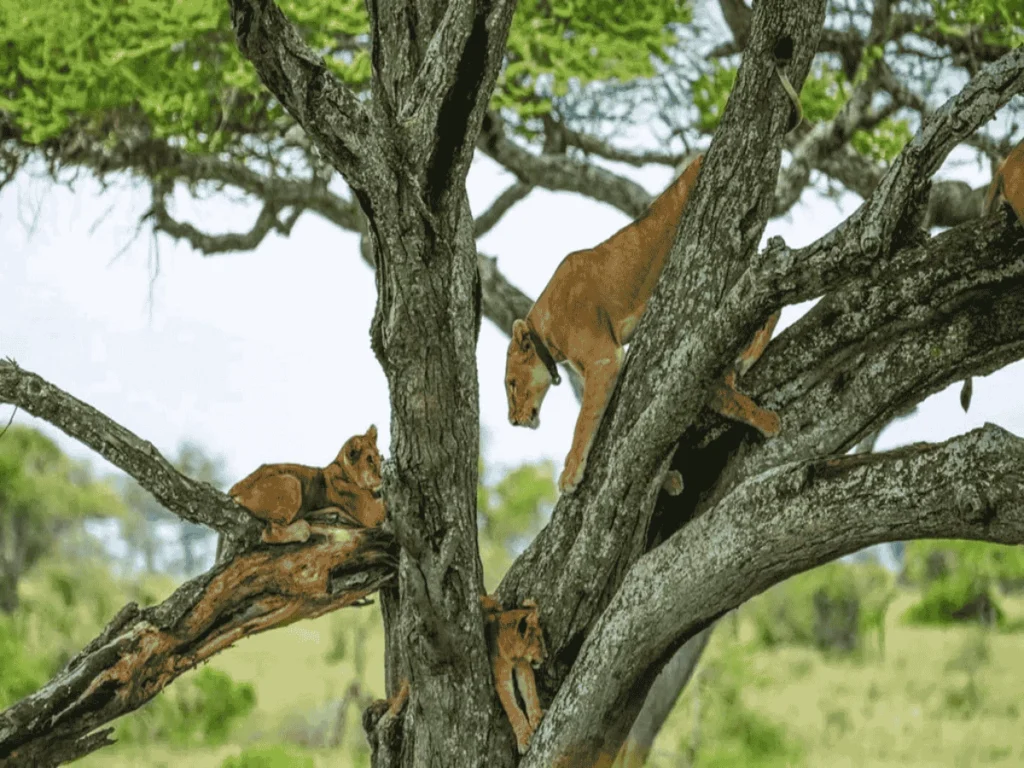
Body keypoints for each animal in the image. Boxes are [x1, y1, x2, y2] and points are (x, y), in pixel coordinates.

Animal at [229, 425, 385, 544]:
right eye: (369, 460)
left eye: (379, 456)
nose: (382, 477)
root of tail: (234, 488)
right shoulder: (371, 513)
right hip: (292, 482)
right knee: (270, 533)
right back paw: (305, 527)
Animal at [480, 594, 547, 755]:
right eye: (539, 640)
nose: (547, 656)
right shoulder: (500, 677)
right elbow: (513, 709)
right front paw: (524, 739)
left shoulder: (523, 665)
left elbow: (530, 692)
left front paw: (537, 717)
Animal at [505, 154, 781, 493]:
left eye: (511, 384)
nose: (513, 421)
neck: (544, 328)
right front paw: (670, 478)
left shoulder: (603, 359)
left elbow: (583, 423)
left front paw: (570, 474)